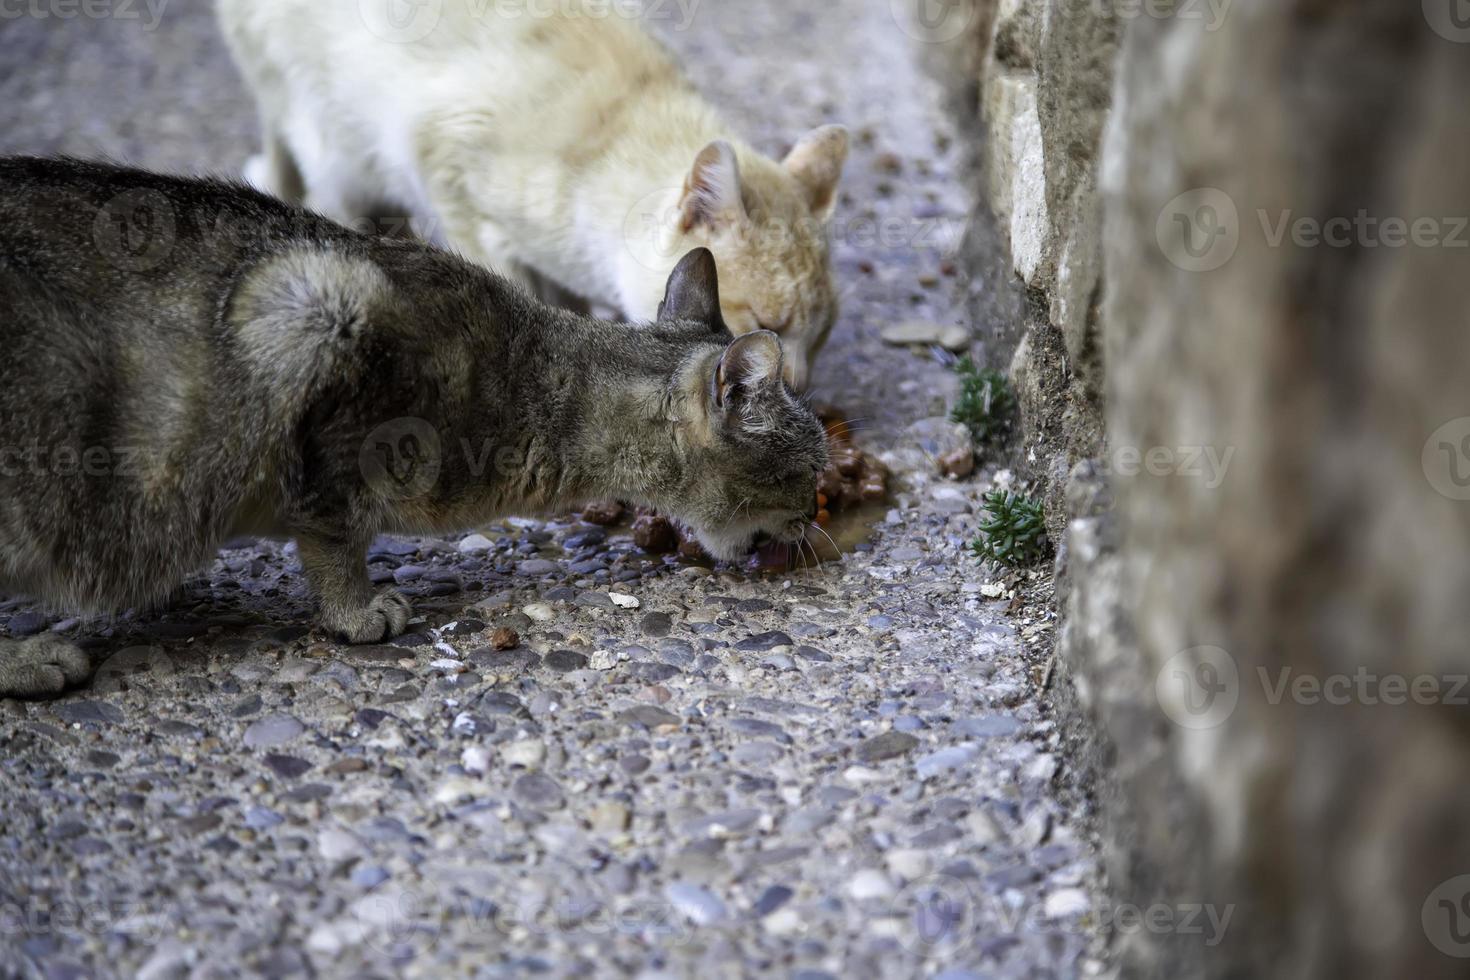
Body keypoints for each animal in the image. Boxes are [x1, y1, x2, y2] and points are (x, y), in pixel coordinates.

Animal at [0, 157, 829, 696]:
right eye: (812, 470)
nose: (817, 516)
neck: (540, 387)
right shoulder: (314, 334)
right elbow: (333, 542)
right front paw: (358, 610)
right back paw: (33, 660)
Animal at [213, 0, 846, 390]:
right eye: (764, 322)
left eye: (820, 338)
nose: (799, 386)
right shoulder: (443, 159)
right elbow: (510, 291)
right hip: (315, 119)